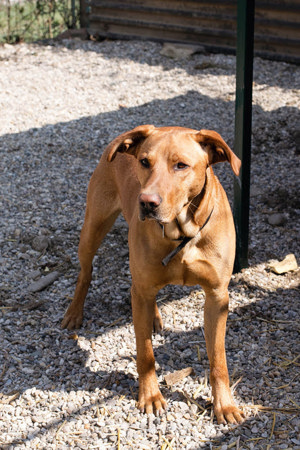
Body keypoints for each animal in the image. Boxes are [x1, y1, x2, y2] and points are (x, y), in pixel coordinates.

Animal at [61, 125, 244, 424]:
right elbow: (145, 353)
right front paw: (150, 396)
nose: (147, 202)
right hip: (93, 228)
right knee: (86, 273)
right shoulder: (143, 289)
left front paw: (224, 406)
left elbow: (218, 359)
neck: (182, 233)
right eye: (144, 162)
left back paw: (155, 317)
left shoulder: (218, 297)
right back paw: (74, 312)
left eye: (181, 165)